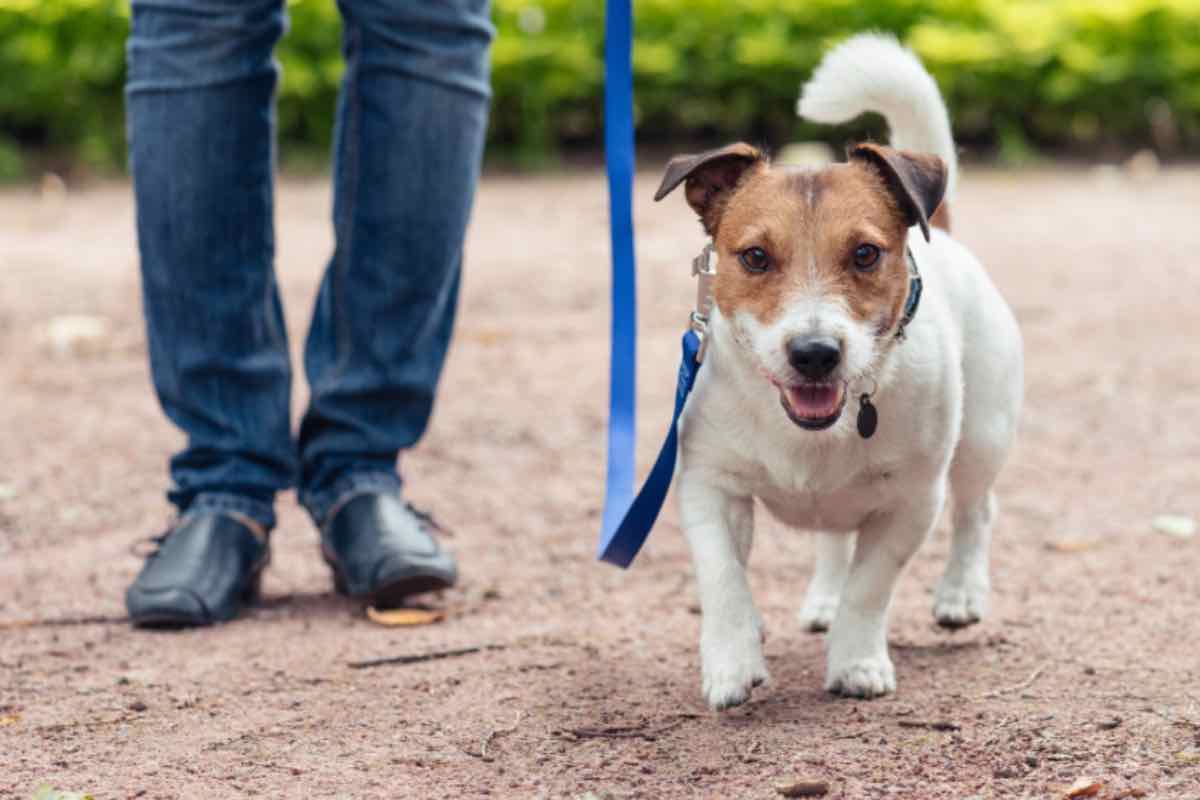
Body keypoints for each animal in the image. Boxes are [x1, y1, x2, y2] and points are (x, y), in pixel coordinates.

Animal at [657, 34, 1022, 710]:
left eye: (865, 253)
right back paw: (823, 598)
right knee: (834, 541)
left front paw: (857, 662)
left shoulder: (911, 501)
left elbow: (870, 587)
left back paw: (960, 593)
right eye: (754, 256)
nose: (815, 353)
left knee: (976, 511)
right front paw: (732, 660)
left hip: (983, 436)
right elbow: (723, 579)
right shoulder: (709, 485)